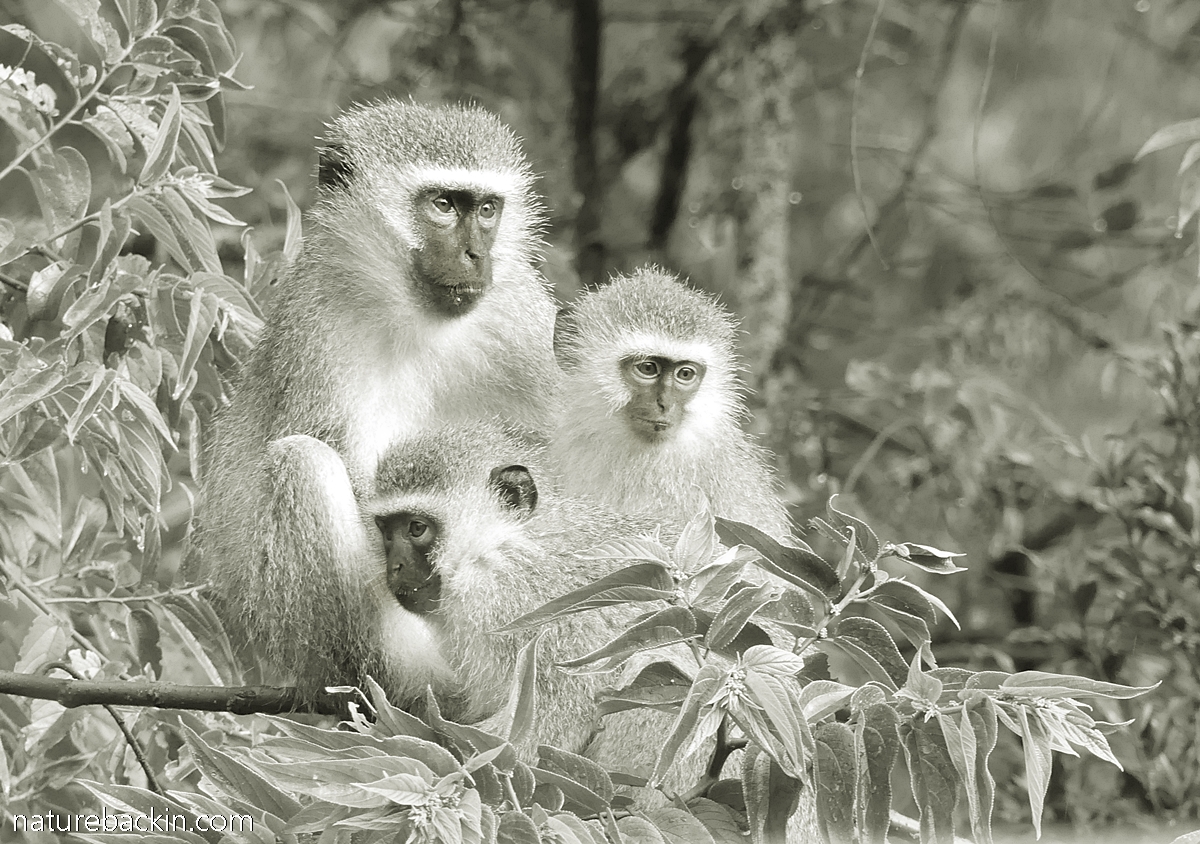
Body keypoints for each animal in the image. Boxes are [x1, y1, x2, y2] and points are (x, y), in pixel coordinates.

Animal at [200, 101, 560, 702]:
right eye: (443, 205)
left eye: (487, 209)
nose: (474, 255)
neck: (420, 321)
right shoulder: (320, 326)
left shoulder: (520, 316)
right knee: (302, 462)